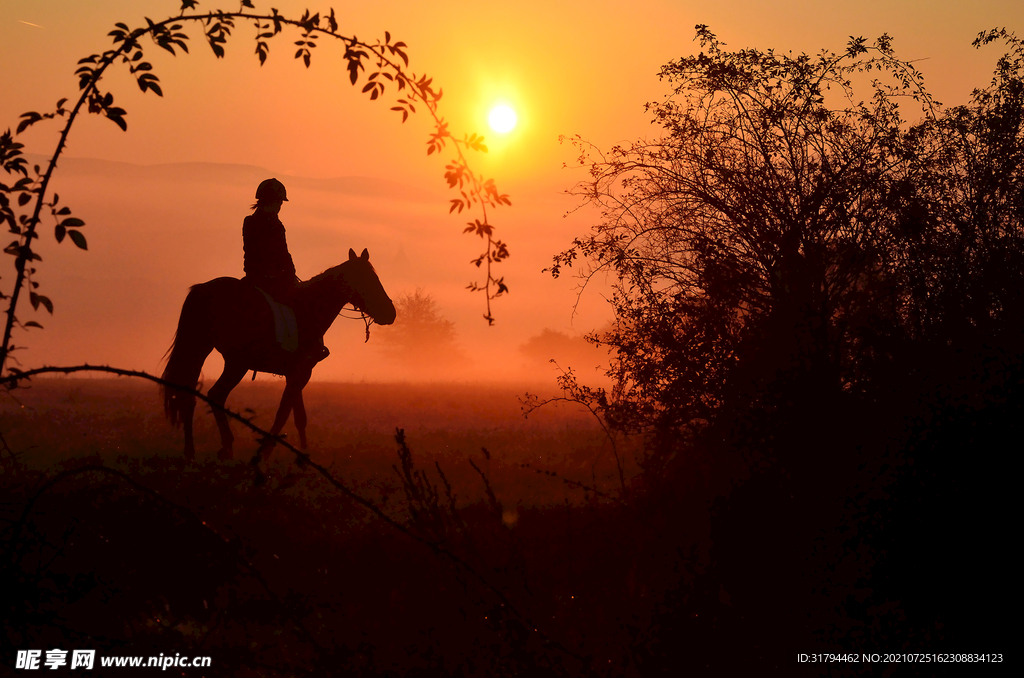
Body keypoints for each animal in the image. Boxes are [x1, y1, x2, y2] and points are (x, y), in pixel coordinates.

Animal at [160, 246, 395, 464]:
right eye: (368, 280)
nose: (390, 313)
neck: (309, 307)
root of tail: (203, 290)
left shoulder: (296, 373)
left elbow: (299, 416)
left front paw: (303, 453)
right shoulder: (301, 372)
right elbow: (283, 414)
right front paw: (265, 453)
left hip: (203, 351)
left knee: (188, 395)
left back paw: (191, 452)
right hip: (236, 363)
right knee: (215, 394)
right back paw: (225, 447)